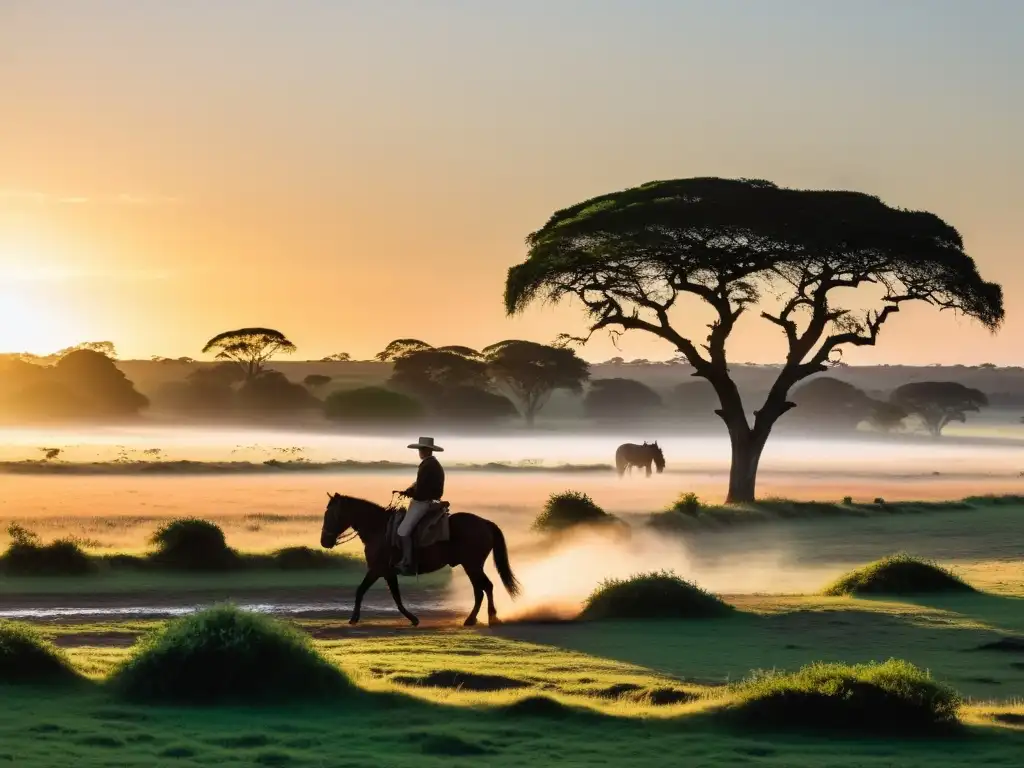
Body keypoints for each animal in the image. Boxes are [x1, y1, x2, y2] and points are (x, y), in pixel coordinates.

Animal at [317, 495, 520, 626]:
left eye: (331, 515)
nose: (324, 541)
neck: (378, 529)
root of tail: (485, 522)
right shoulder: (387, 572)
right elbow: (396, 597)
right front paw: (413, 619)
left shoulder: (376, 570)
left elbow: (362, 590)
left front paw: (353, 618)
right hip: (472, 566)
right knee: (482, 589)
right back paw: (480, 618)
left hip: (472, 565)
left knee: (484, 588)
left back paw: (483, 618)